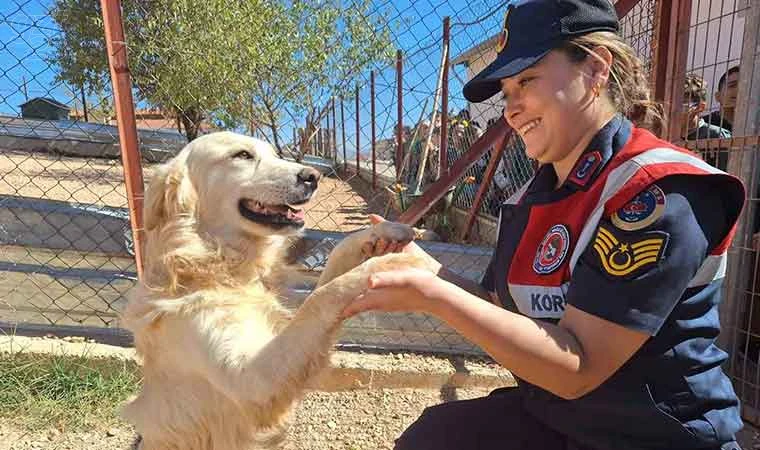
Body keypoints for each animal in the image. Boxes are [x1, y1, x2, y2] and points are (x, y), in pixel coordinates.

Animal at [124, 132, 434, 448]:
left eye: (273, 154)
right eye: (242, 155)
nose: (313, 176)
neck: (224, 263)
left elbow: (333, 266)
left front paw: (385, 233)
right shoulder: (251, 378)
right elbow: (322, 296)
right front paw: (394, 263)